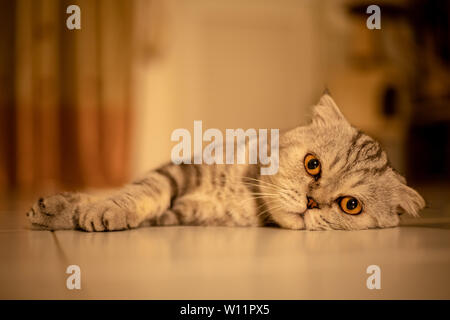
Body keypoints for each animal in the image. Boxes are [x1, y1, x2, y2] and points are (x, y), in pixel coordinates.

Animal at [25, 94, 426, 231]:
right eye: (313, 165)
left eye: (350, 205)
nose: (312, 202)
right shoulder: (181, 170)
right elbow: (142, 191)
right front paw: (96, 209)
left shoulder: (186, 214)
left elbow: (152, 210)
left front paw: (74, 213)